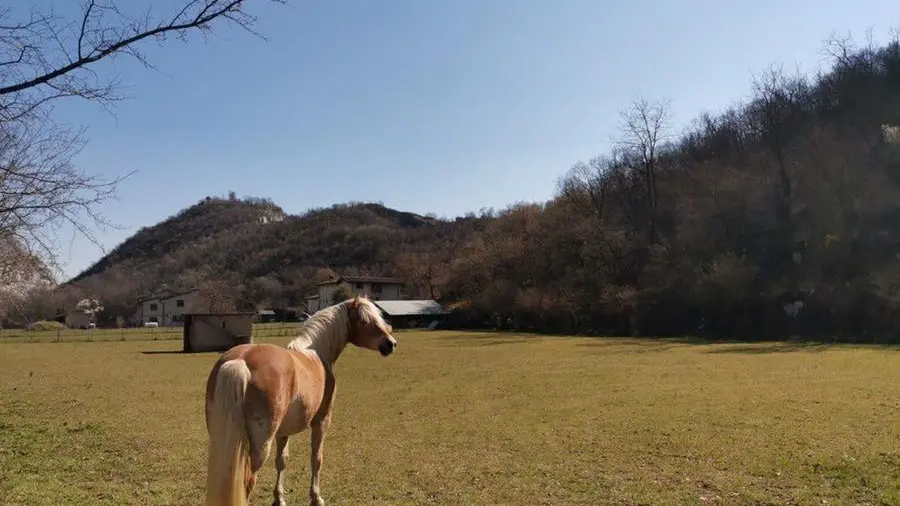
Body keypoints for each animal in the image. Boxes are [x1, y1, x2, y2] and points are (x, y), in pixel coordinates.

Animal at [203, 295, 398, 506]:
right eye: (364, 320)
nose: (390, 343)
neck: (316, 353)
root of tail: (240, 361)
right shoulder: (322, 421)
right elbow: (316, 458)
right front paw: (316, 497)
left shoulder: (283, 431)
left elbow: (282, 461)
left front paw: (279, 498)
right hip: (260, 444)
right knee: (247, 481)